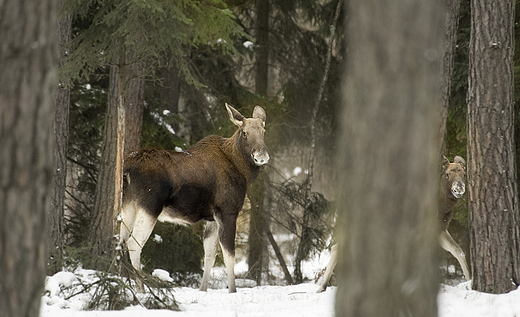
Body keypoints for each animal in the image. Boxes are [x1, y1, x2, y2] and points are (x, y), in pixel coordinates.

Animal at [120, 103, 270, 292]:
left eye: (264, 131)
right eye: (244, 132)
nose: (261, 156)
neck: (243, 172)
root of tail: (127, 169)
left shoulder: (213, 218)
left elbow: (210, 255)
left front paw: (202, 289)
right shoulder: (227, 211)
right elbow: (229, 255)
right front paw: (233, 290)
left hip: (128, 205)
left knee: (121, 240)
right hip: (150, 206)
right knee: (134, 244)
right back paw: (141, 289)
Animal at [316, 156, 472, 292]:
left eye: (464, 174)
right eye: (447, 174)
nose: (459, 188)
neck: (441, 207)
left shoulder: (439, 230)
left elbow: (458, 250)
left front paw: (470, 280)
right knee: (336, 247)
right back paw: (322, 286)